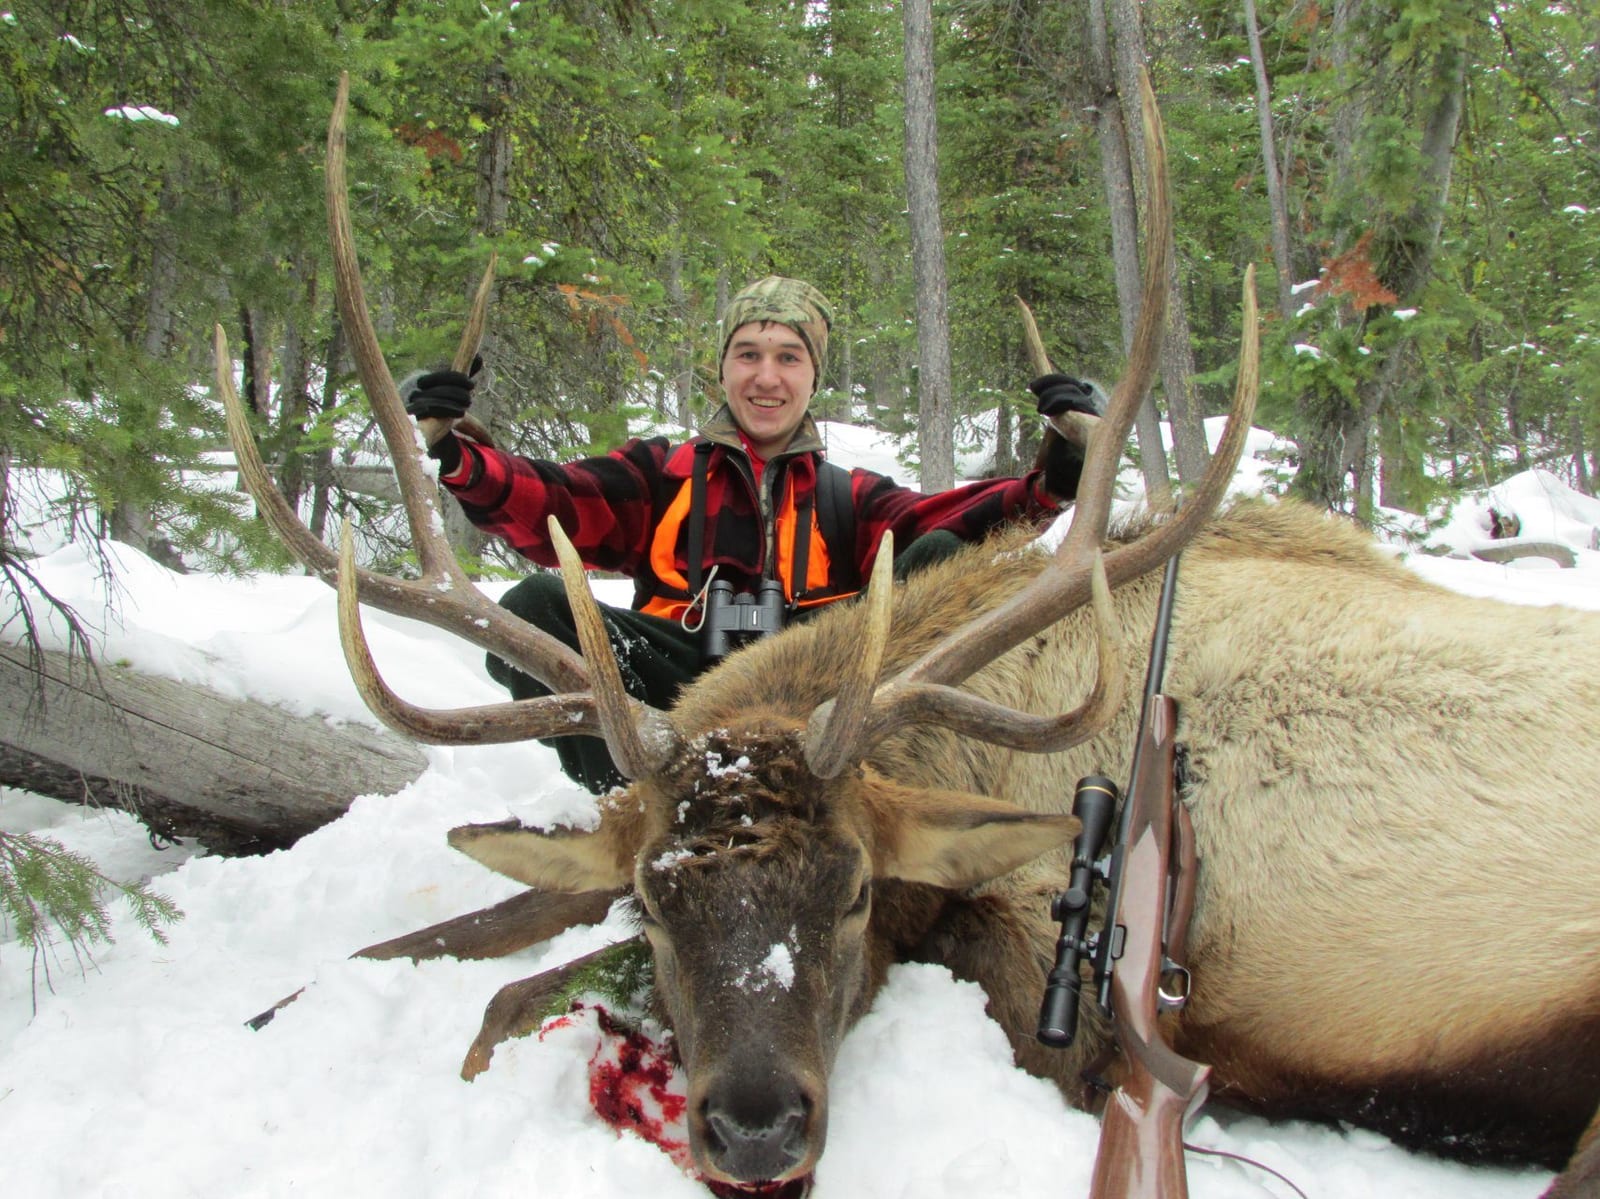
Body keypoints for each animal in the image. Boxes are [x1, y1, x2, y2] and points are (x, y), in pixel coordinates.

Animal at [220, 74, 1600, 1198]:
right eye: (659, 898)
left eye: (853, 890)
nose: (757, 1126)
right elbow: (478, 928)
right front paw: (277, 1002)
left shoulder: (1053, 990)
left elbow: (514, 985)